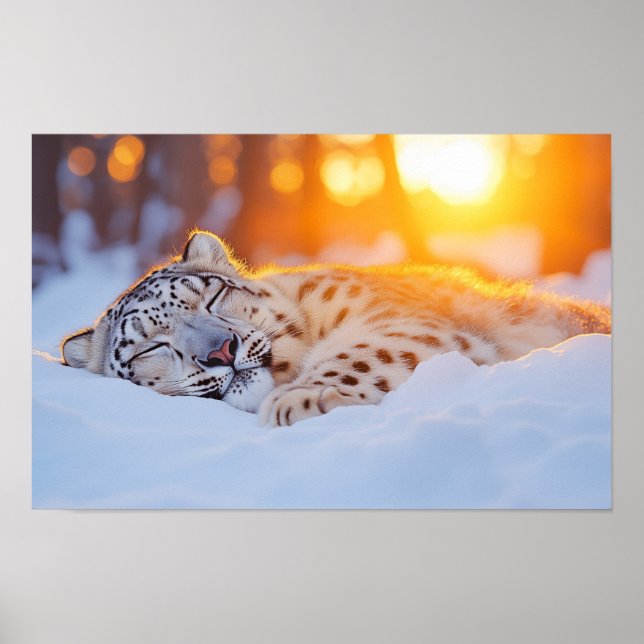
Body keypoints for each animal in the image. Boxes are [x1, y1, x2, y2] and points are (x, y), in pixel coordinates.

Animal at [61, 230, 611, 426]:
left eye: (212, 296)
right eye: (148, 348)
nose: (221, 351)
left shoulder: (396, 320)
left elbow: (362, 352)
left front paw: (301, 400)